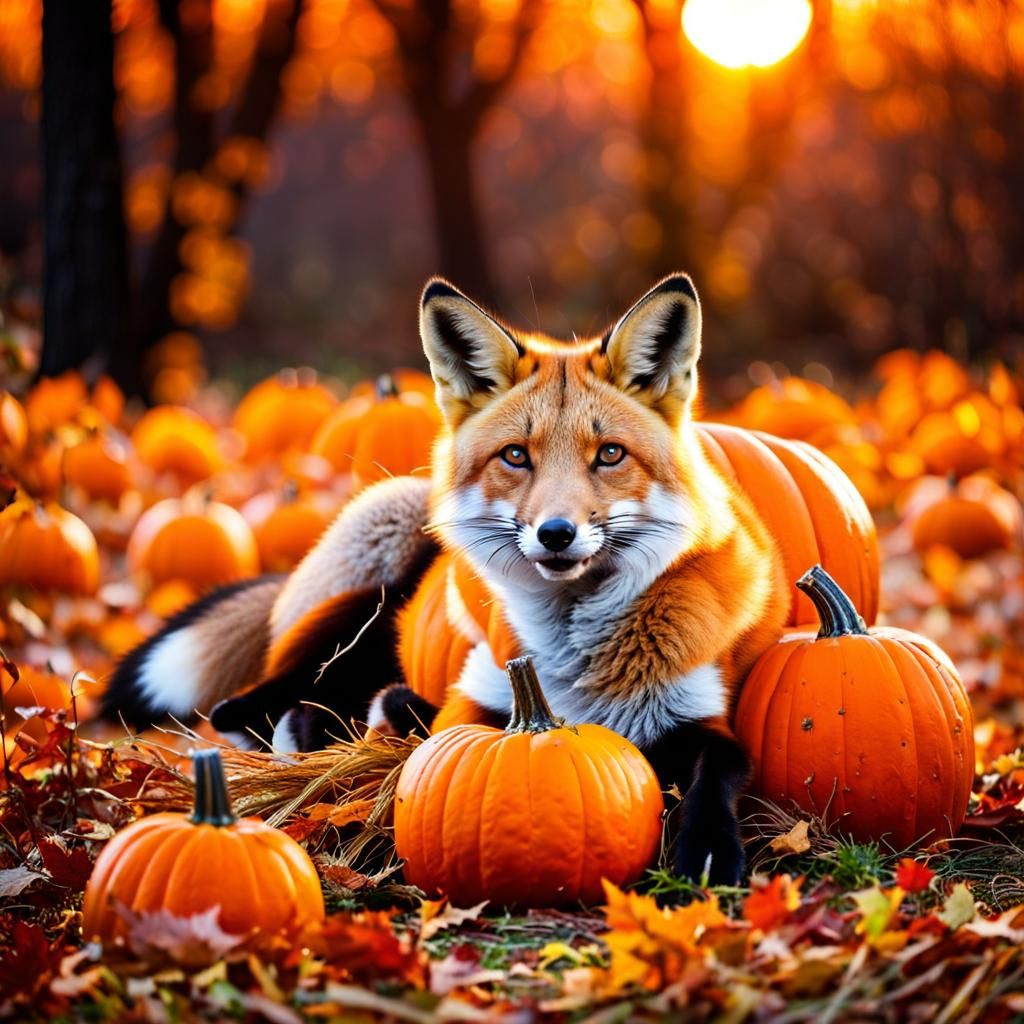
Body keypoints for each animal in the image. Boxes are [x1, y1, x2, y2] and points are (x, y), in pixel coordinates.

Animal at [103, 272, 791, 884]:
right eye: (516, 456)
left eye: (610, 455)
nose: (556, 533)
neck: (572, 662)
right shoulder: (473, 704)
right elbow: (427, 730)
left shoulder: (701, 717)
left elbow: (718, 774)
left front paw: (709, 852)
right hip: (379, 563)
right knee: (249, 703)